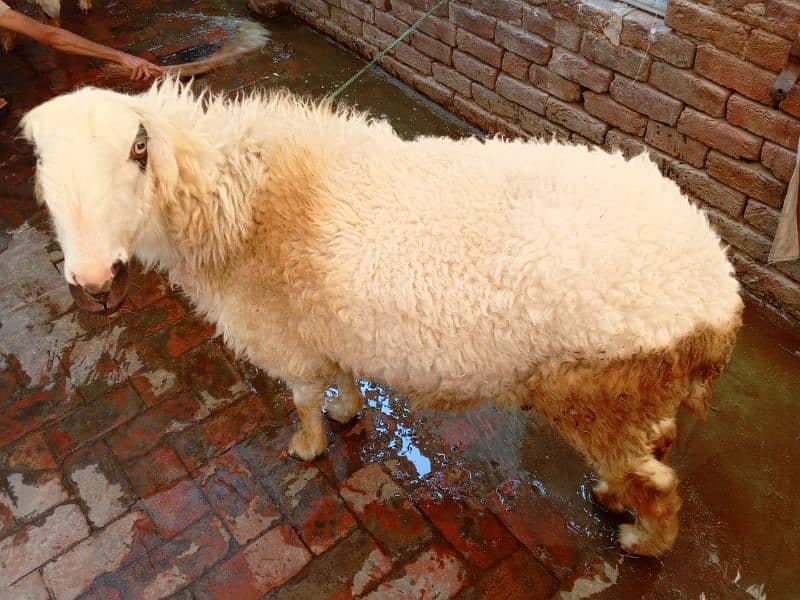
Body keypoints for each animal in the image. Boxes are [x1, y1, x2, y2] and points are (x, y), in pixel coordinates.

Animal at [21, 78, 743, 557]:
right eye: (44, 170)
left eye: (136, 152)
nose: (94, 283)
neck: (238, 206)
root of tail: (718, 292)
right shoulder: (326, 323)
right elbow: (341, 377)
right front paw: (347, 413)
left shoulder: (287, 337)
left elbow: (303, 398)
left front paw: (308, 446)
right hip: (634, 392)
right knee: (654, 447)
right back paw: (614, 498)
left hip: (600, 387)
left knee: (659, 482)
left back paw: (643, 538)